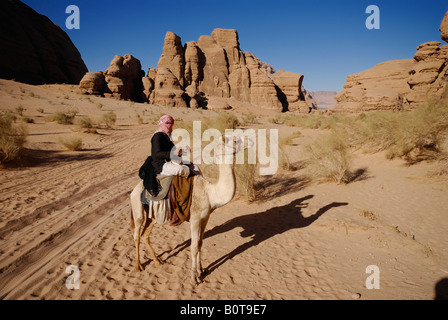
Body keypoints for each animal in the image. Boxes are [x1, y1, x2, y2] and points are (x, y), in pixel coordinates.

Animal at [130, 138, 242, 284]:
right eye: (226, 140)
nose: (239, 141)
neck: (210, 193)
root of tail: (133, 190)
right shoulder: (194, 219)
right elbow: (194, 247)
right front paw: (195, 278)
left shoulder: (205, 218)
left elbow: (200, 243)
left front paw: (202, 270)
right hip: (137, 208)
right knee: (137, 234)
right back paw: (138, 265)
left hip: (152, 216)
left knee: (145, 235)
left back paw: (158, 261)